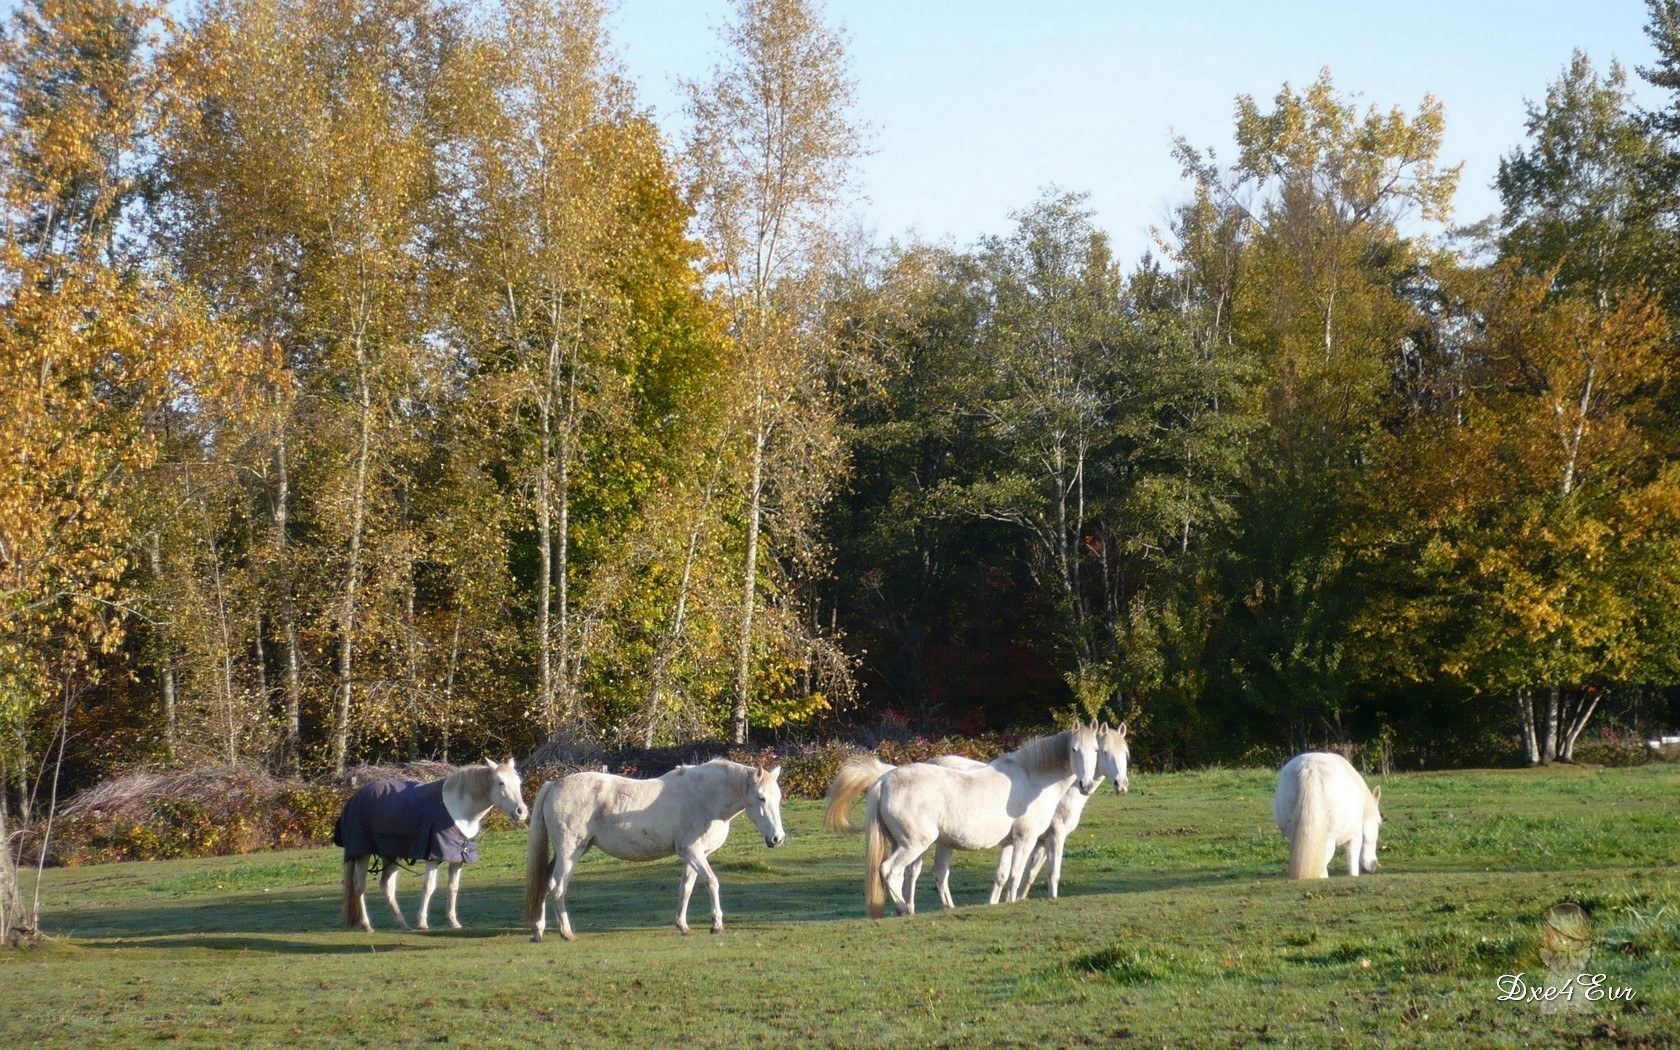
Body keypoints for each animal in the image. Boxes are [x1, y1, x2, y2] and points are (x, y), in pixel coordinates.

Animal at [335, 757, 528, 932]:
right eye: (501, 782)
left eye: (518, 782)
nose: (522, 811)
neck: (460, 811)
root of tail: (355, 797)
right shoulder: (433, 857)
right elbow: (429, 887)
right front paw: (422, 922)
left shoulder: (457, 858)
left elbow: (453, 888)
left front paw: (453, 922)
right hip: (362, 854)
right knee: (360, 887)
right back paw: (366, 925)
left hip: (390, 855)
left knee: (387, 885)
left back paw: (402, 924)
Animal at [523, 760, 786, 941]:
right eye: (761, 798)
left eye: (778, 797)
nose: (777, 838)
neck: (705, 797)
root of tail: (554, 785)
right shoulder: (693, 852)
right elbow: (712, 882)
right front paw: (717, 925)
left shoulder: (693, 856)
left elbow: (686, 889)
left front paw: (683, 926)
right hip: (570, 853)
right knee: (558, 886)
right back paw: (566, 933)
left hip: (567, 853)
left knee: (545, 883)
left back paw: (538, 931)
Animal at [825, 723, 1127, 910]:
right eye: (1075, 750)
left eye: (1097, 750)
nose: (1085, 784)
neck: (1033, 777)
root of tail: (886, 779)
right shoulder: (1030, 839)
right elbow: (1022, 874)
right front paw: (1013, 903)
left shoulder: (1013, 843)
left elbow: (1007, 875)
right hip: (914, 845)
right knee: (891, 871)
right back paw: (904, 909)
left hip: (913, 845)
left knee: (914, 874)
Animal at [1273, 751, 1382, 879]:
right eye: (1379, 823)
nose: (1371, 867)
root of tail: (1309, 768)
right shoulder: (1354, 839)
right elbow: (1353, 869)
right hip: (1328, 841)